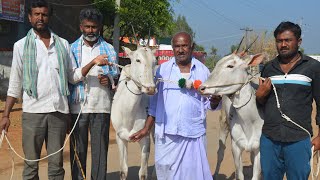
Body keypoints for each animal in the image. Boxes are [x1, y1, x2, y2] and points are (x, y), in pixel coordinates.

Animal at [110, 45, 157, 179]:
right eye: (138, 60)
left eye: (154, 62)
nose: (150, 89)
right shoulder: (120, 137)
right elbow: (123, 170)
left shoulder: (145, 138)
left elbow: (143, 173)